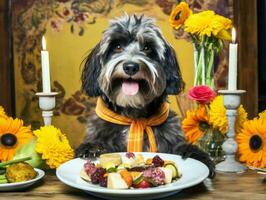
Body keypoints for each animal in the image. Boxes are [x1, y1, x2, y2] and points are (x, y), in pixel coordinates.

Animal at [74, 13, 214, 177]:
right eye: (117, 46)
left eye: (147, 47)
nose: (130, 66)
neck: (133, 115)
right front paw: (91, 148)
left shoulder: (170, 139)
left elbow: (181, 147)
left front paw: (198, 156)